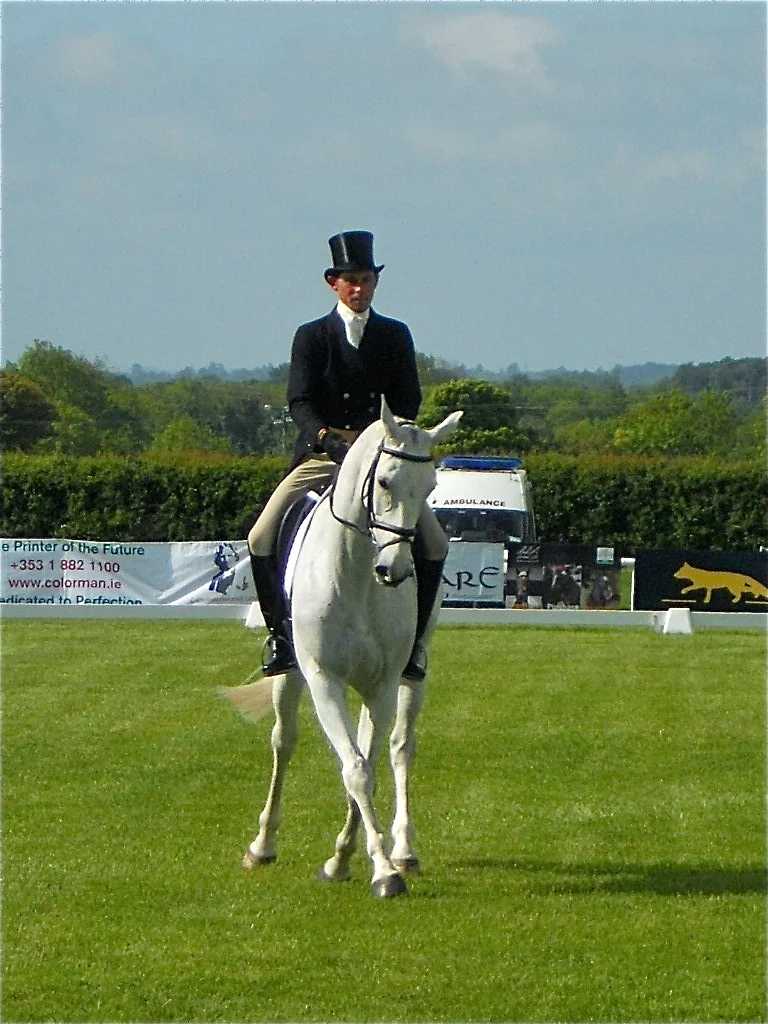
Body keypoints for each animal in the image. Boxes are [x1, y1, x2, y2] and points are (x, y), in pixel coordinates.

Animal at [222, 399, 462, 898]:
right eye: (385, 481)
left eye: (430, 487)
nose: (395, 571)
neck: (355, 573)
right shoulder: (323, 679)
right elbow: (355, 770)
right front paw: (369, 867)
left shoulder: (382, 686)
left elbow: (366, 765)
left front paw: (362, 862)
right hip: (290, 672)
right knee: (283, 741)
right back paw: (262, 845)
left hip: (411, 677)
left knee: (400, 746)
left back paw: (404, 850)